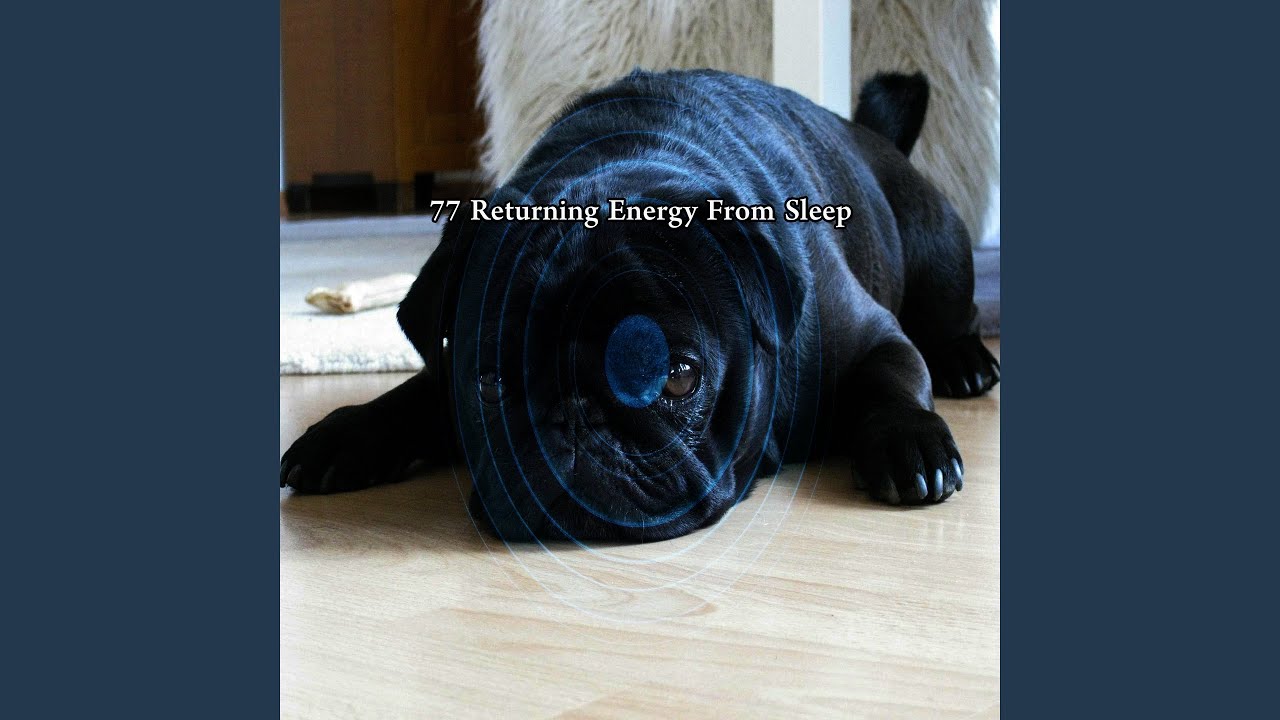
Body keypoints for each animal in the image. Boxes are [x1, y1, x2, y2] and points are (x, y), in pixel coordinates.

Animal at [280, 70, 999, 543]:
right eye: (486, 382)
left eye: (677, 377)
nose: (572, 419)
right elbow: (420, 389)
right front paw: (348, 432)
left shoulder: (875, 338)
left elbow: (892, 383)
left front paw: (910, 444)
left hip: (938, 246)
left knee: (950, 320)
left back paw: (965, 363)